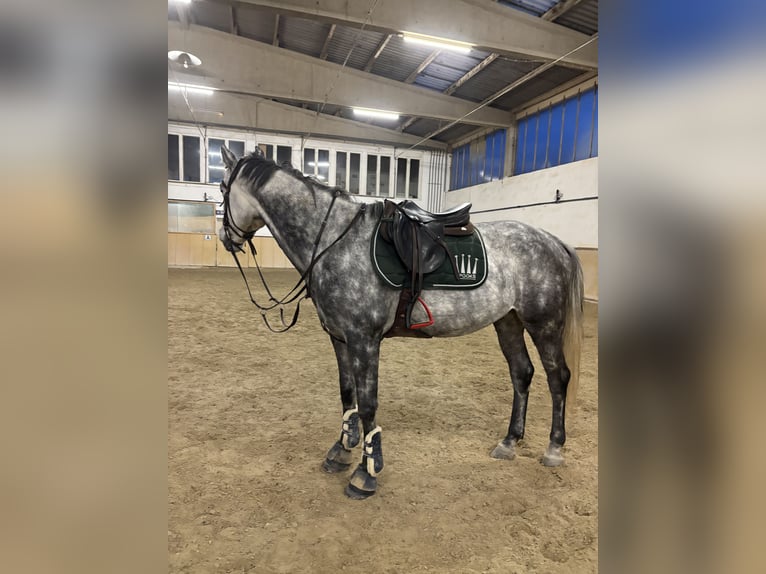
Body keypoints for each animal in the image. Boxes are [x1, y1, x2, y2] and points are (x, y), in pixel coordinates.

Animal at [217, 146, 584, 499]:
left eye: (222, 188)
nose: (224, 238)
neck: (335, 241)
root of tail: (554, 242)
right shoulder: (340, 338)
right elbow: (347, 395)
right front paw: (342, 450)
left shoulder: (364, 339)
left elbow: (368, 404)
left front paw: (366, 472)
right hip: (508, 321)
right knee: (522, 373)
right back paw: (509, 442)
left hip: (544, 323)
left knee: (557, 378)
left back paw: (554, 447)